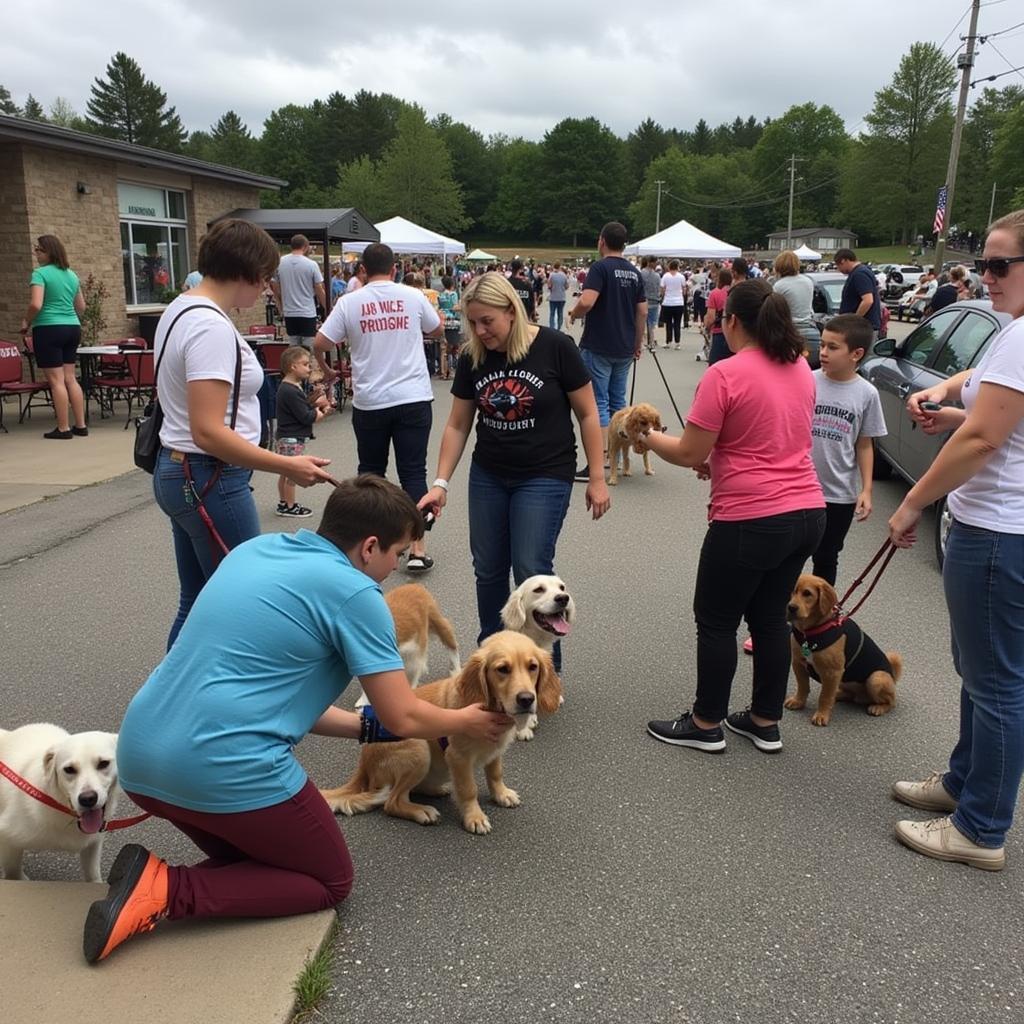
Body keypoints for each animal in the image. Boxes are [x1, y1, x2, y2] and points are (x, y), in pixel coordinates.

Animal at [0, 724, 120, 884]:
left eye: (103, 763)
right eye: (69, 769)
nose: (87, 798)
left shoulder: (93, 844)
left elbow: (93, 876)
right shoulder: (7, 839)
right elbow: (14, 873)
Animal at [319, 626, 561, 835]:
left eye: (533, 667)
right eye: (502, 669)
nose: (527, 699)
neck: (492, 708)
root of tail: (364, 764)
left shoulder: (495, 752)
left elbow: (495, 774)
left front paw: (501, 795)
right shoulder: (458, 757)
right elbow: (468, 789)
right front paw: (474, 817)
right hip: (418, 748)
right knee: (392, 802)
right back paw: (420, 810)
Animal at [778, 573, 901, 724]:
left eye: (807, 593)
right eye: (792, 591)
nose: (791, 608)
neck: (811, 632)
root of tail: (892, 675)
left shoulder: (832, 672)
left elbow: (824, 697)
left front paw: (822, 715)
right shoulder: (798, 663)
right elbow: (803, 686)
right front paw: (798, 701)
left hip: (876, 678)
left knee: (891, 701)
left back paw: (878, 707)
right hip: (845, 680)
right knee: (848, 695)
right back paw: (839, 694)